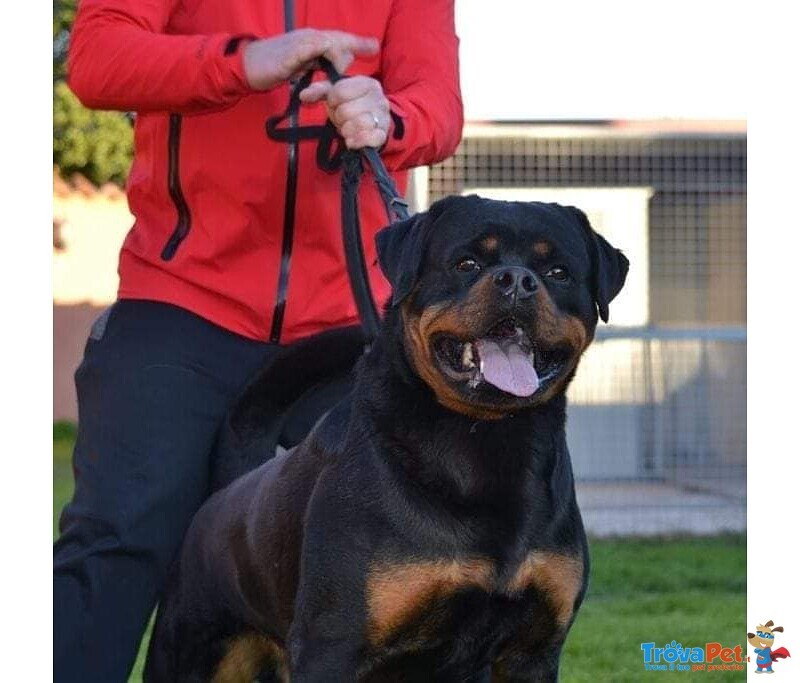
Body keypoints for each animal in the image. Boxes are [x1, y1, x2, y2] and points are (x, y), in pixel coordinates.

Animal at [147, 195, 628, 680]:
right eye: (467, 263)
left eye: (558, 272)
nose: (517, 281)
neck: (488, 439)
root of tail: (226, 493)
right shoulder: (332, 643)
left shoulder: (533, 650)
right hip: (184, 652)